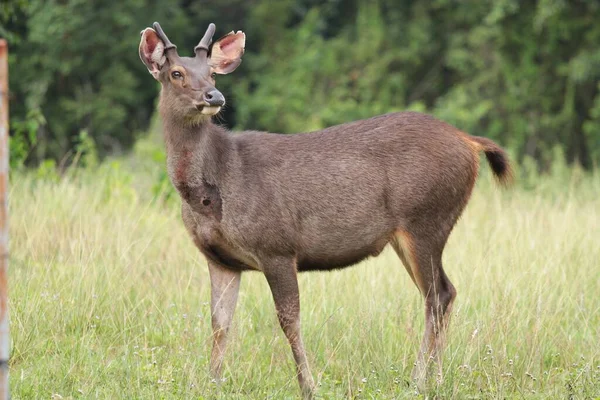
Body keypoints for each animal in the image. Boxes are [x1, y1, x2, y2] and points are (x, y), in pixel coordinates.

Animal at [139, 22, 510, 400]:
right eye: (176, 73)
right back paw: (435, 377)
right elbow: (219, 322)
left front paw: (308, 385)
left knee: (438, 295)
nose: (214, 96)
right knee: (443, 293)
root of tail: (470, 142)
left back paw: (419, 379)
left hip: (427, 219)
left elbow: (289, 320)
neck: (210, 193)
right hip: (413, 231)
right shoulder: (220, 259)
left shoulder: (277, 246)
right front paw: (211, 382)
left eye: (212, 72)